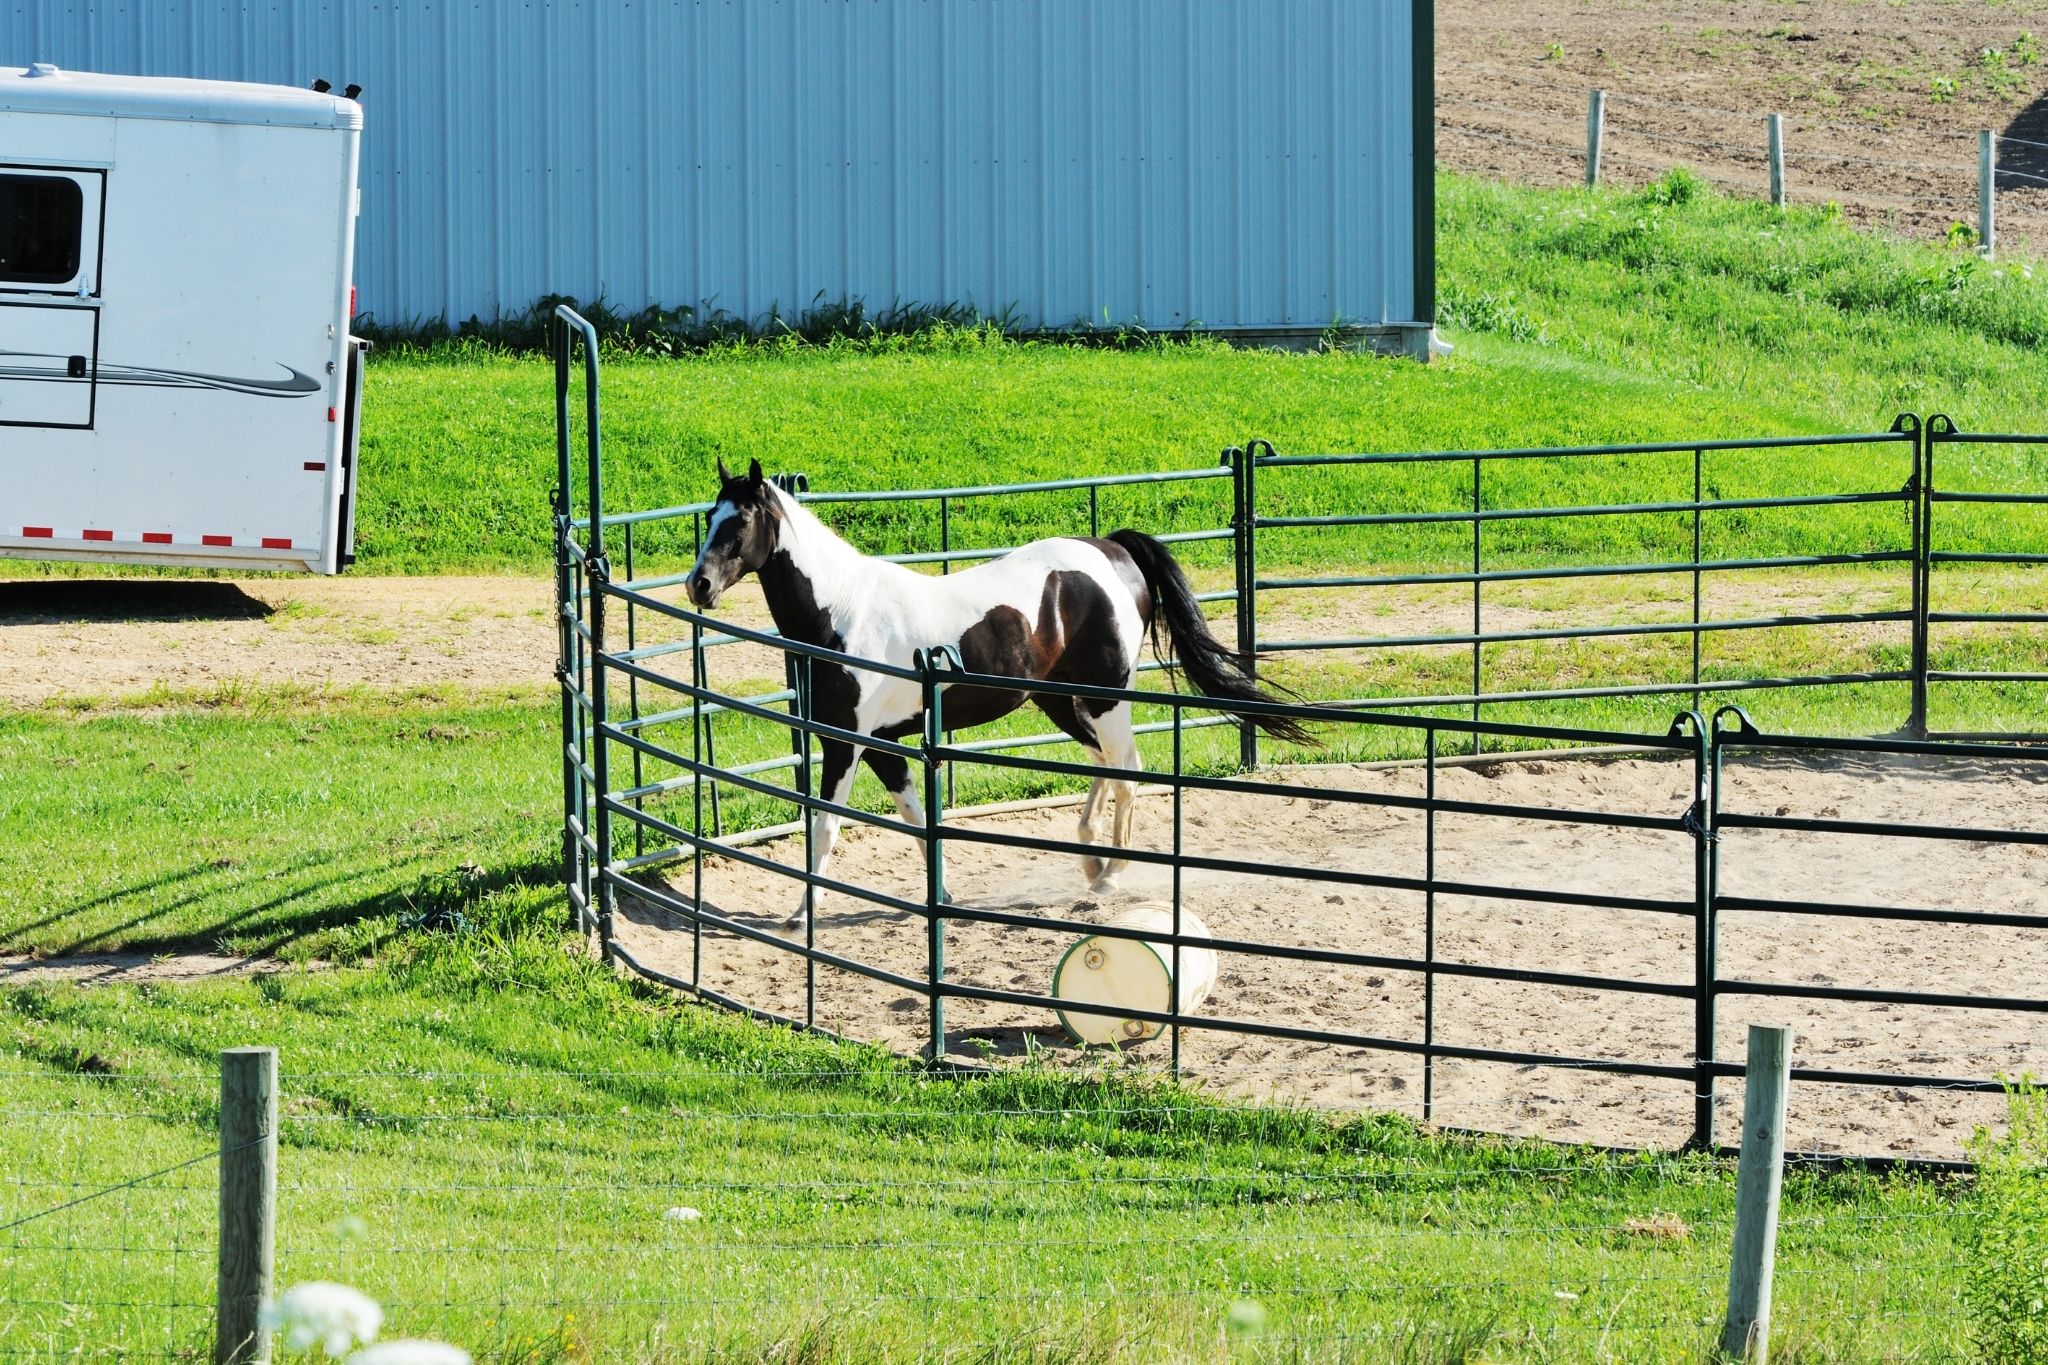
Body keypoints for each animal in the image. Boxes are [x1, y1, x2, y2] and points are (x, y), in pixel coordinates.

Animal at [685, 458, 1311, 926]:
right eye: (711, 516)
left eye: (740, 523)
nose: (699, 584)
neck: (843, 612)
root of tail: (1112, 552)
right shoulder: (886, 744)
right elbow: (913, 816)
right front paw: (944, 897)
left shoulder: (845, 742)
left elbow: (824, 826)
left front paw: (801, 915)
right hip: (1060, 698)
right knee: (1101, 760)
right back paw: (1090, 861)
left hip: (1106, 695)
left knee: (1127, 765)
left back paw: (1111, 873)